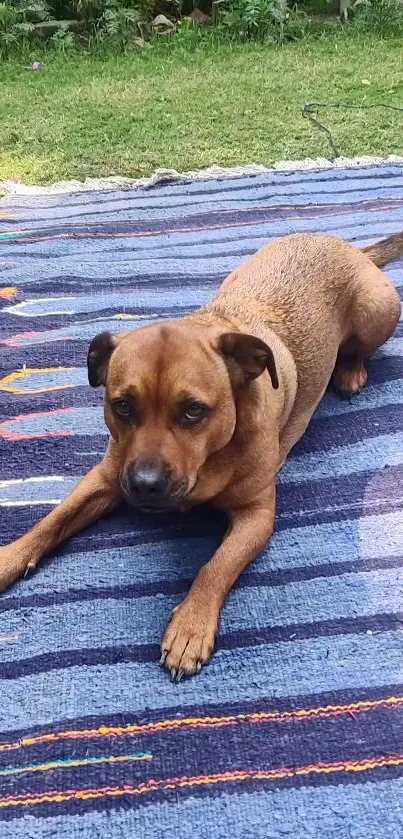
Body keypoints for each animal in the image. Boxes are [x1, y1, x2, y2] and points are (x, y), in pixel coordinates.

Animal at [0, 233, 402, 680]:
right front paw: (8, 558)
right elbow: (51, 521)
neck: (211, 460)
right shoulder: (106, 477)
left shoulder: (256, 516)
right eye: (122, 406)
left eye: (194, 411)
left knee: (359, 350)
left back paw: (350, 372)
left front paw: (191, 627)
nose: (145, 485)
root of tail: (349, 248)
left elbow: (216, 567)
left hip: (378, 310)